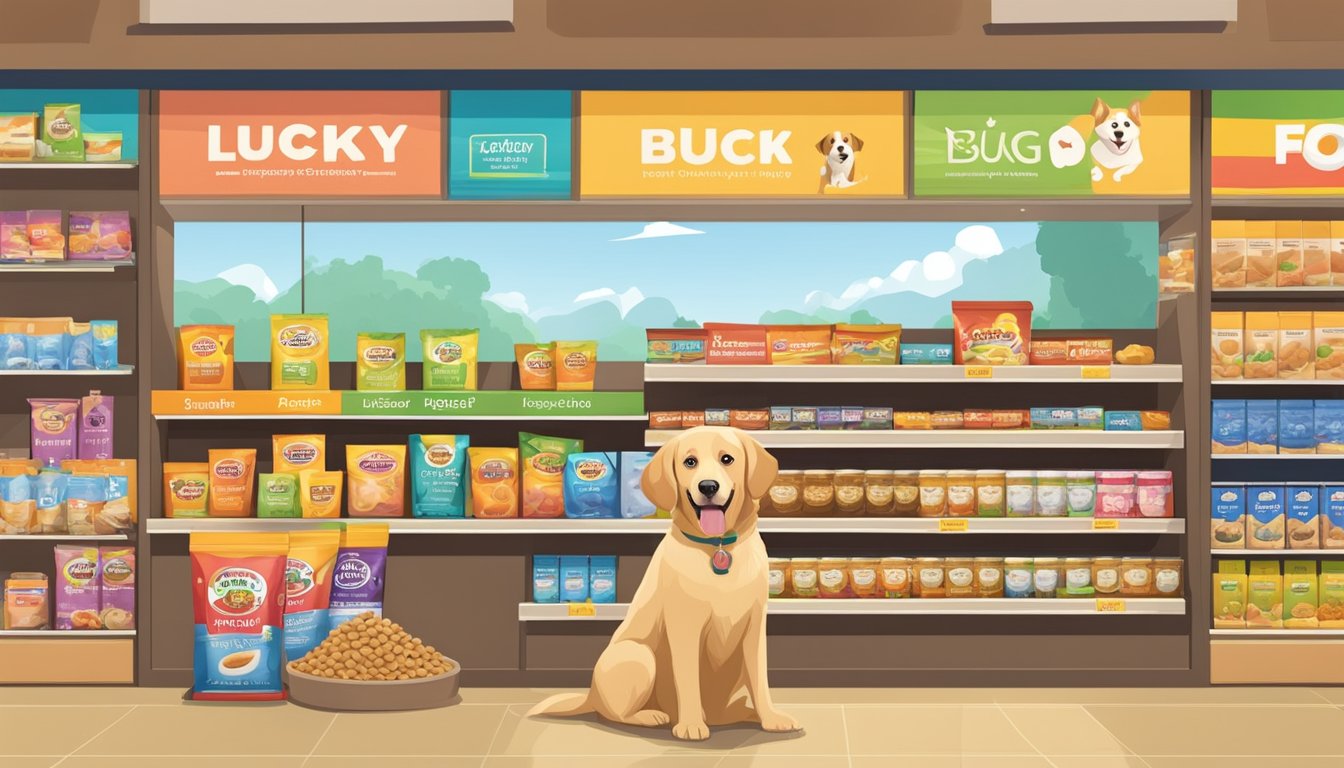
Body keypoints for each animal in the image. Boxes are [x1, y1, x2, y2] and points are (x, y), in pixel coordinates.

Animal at [524, 430, 795, 742]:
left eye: (727, 459)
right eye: (690, 462)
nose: (708, 486)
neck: (718, 547)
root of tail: (590, 694)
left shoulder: (754, 628)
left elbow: (760, 680)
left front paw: (770, 718)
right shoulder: (684, 627)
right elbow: (688, 680)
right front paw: (691, 724)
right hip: (639, 656)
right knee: (615, 713)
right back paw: (654, 716)